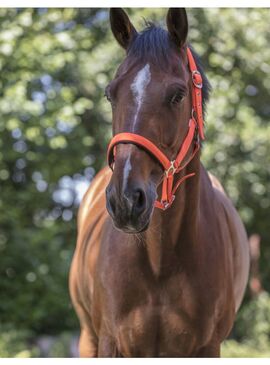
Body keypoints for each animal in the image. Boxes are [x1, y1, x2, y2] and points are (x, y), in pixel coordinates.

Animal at [68, 7, 250, 356]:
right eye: (110, 94)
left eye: (177, 94)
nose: (125, 200)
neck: (160, 262)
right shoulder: (110, 341)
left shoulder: (208, 346)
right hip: (87, 337)